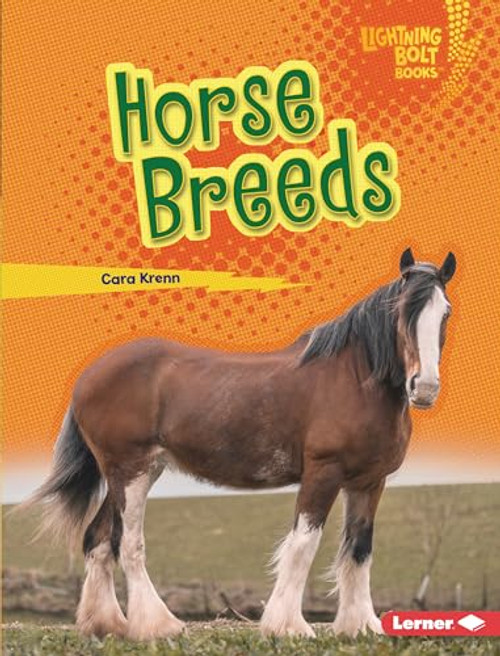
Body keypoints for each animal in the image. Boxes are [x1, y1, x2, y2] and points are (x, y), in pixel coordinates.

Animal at [25, 247, 456, 641]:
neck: (353, 379)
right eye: (402, 311)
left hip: (132, 472)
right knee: (128, 543)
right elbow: (303, 545)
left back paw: (107, 625)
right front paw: (289, 626)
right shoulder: (323, 472)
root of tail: (88, 375)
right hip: (130, 471)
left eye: (445, 313)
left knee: (98, 541)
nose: (424, 387)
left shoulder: (368, 482)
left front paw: (360, 625)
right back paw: (158, 625)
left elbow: (359, 549)